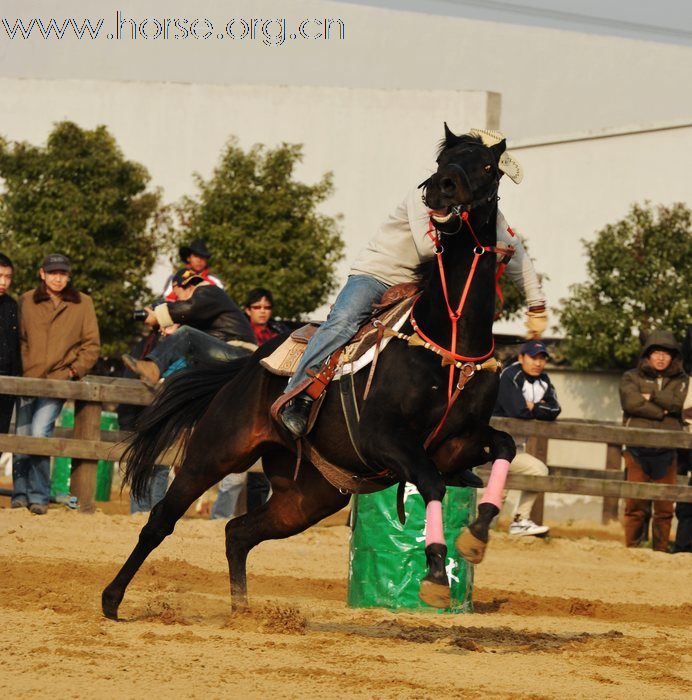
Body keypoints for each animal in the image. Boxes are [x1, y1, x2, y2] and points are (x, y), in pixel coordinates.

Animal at [101, 127, 512, 616]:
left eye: (487, 166)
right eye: (444, 159)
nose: (441, 186)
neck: (447, 340)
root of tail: (246, 365)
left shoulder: (456, 444)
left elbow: (504, 446)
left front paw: (476, 536)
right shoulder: (384, 437)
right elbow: (430, 483)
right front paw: (433, 571)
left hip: (308, 497)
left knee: (238, 532)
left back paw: (243, 613)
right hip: (215, 452)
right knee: (161, 521)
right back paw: (112, 599)